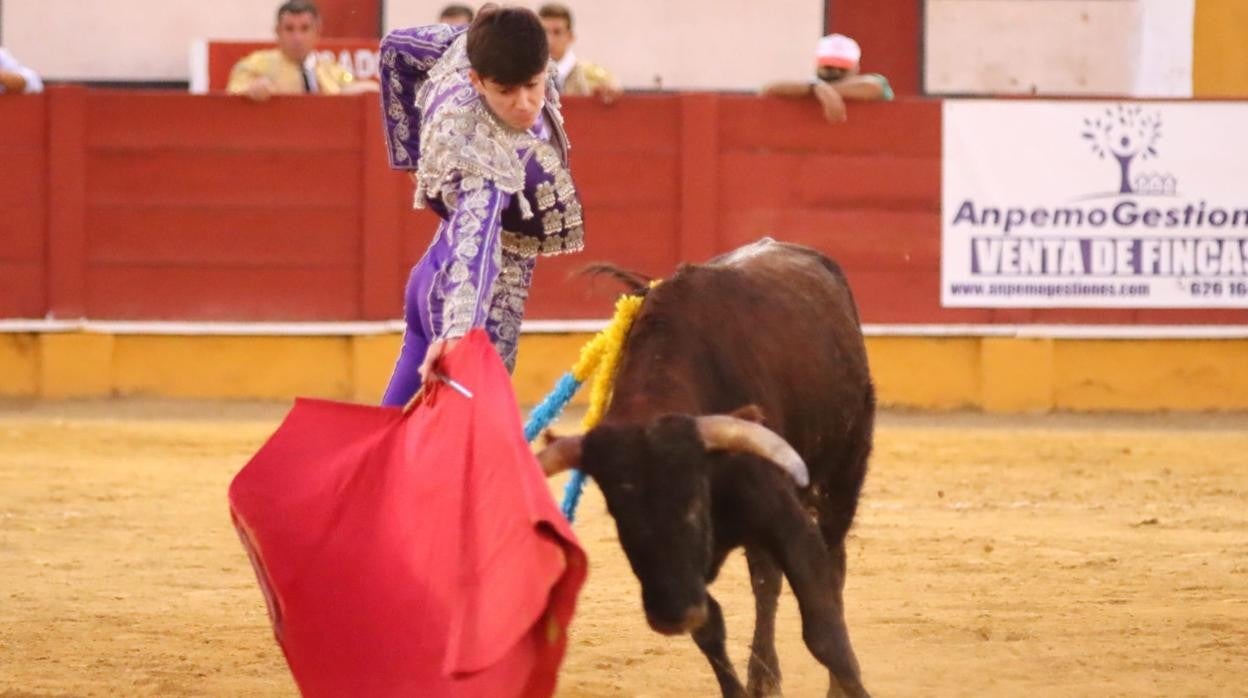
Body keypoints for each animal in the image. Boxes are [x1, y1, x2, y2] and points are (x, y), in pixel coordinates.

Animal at [539, 239, 878, 698]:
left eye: (694, 504)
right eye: (618, 515)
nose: (671, 616)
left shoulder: (786, 520)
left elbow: (823, 630)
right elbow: (711, 629)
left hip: (842, 478)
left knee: (832, 567)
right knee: (765, 582)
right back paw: (763, 677)